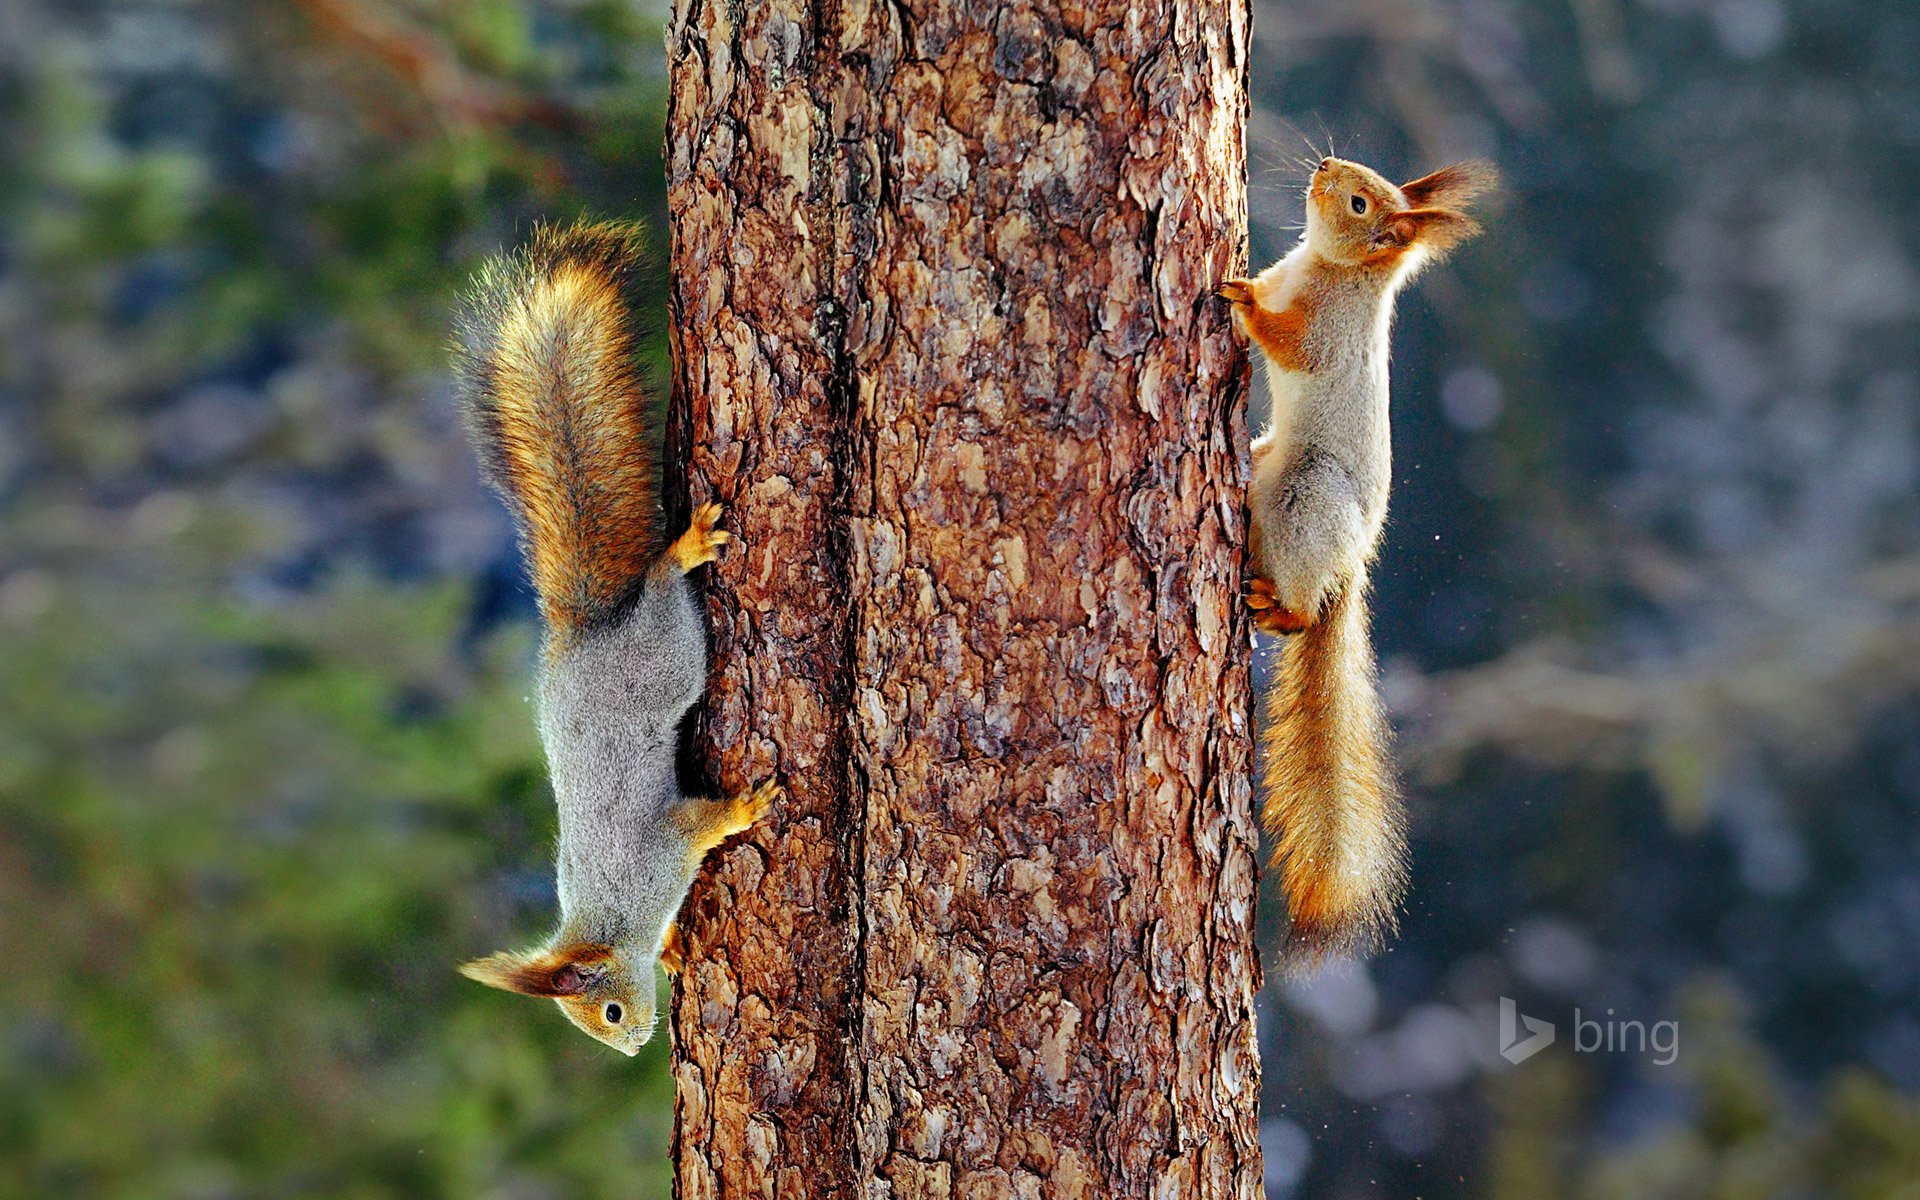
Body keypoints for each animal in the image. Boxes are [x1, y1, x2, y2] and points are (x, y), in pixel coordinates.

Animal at [453, 219, 775, 1052]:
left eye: (608, 1013)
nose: (633, 1046)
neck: (610, 919)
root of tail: (588, 633)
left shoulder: (658, 855)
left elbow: (701, 825)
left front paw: (743, 810)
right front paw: (675, 947)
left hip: (664, 655)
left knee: (662, 586)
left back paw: (683, 550)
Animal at [1213, 156, 1497, 963]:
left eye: (1362, 202)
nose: (1323, 167)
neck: (1328, 269)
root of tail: (1350, 567)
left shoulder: (1325, 339)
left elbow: (1286, 343)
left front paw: (1241, 297)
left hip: (1310, 499)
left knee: (1302, 612)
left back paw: (1280, 607)